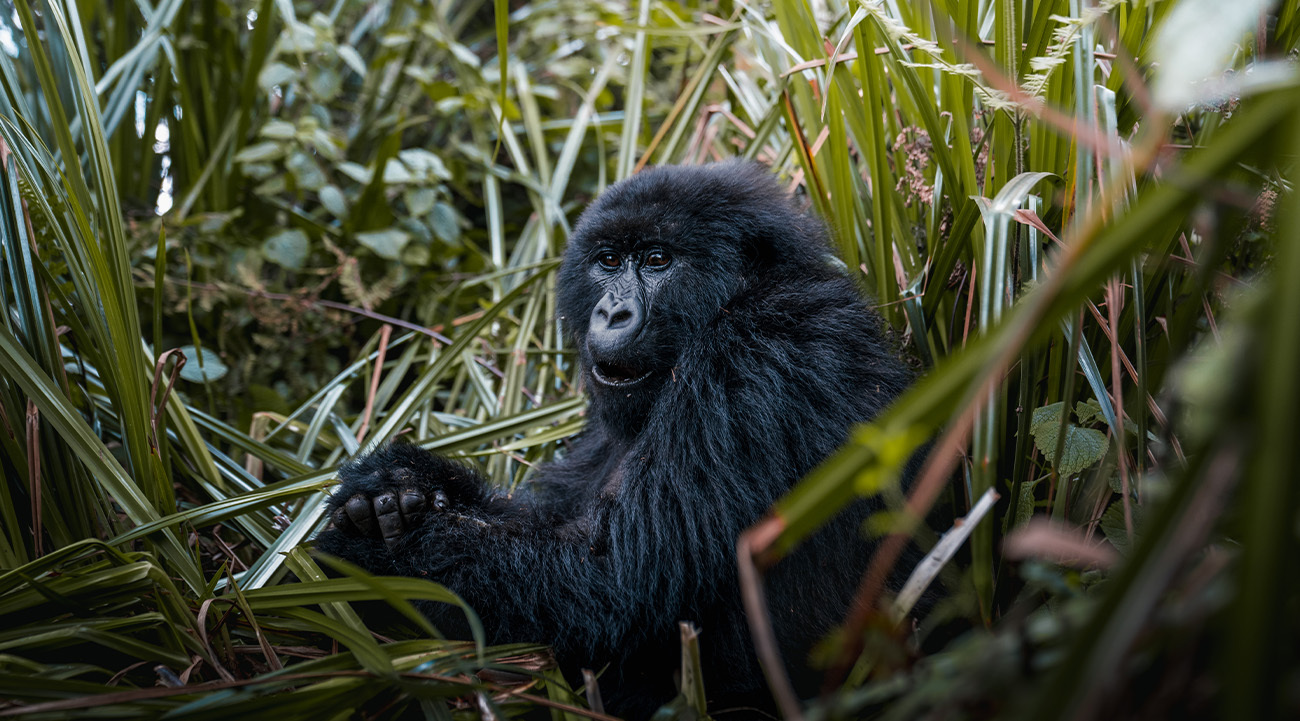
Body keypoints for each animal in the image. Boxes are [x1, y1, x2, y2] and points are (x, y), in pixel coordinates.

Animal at [313, 161, 915, 717]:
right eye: (607, 261)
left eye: (657, 260)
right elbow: (552, 522)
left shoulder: (760, 351)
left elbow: (614, 580)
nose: (612, 311)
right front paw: (406, 483)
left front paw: (368, 553)